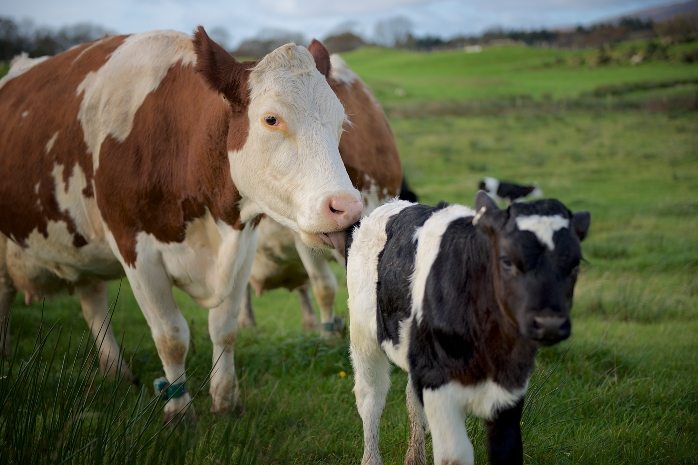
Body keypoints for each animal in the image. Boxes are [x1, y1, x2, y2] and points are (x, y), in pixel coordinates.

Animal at [0, 29, 358, 420]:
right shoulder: (135, 249)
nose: (347, 206)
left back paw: (117, 372)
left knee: (92, 301)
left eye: (341, 123)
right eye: (271, 119)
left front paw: (225, 400)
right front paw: (180, 410)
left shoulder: (242, 244)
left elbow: (224, 327)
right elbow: (170, 336)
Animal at [342, 190, 588, 462]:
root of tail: (393, 204)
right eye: (506, 260)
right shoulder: (439, 384)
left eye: (575, 264)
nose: (549, 324)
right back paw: (371, 458)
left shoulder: (511, 386)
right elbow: (454, 454)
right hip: (363, 338)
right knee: (370, 397)